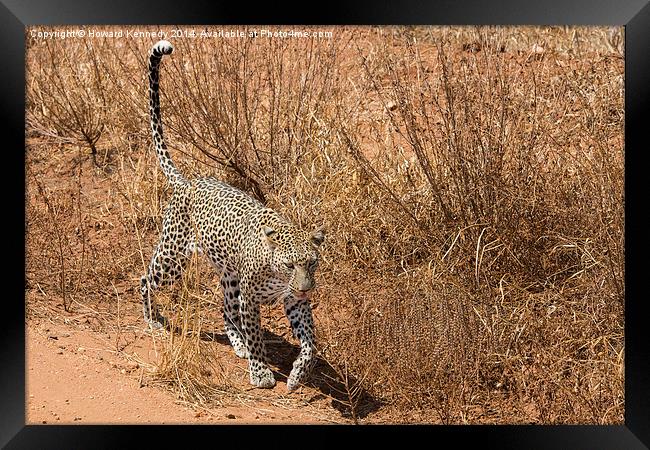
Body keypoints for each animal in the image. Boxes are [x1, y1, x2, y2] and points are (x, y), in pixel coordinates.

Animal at [140, 40, 324, 392]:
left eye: (311, 263)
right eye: (289, 264)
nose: (306, 288)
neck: (275, 272)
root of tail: (188, 181)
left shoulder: (295, 303)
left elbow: (310, 342)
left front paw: (298, 374)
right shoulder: (251, 299)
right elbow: (256, 336)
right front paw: (262, 372)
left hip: (229, 275)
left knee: (225, 307)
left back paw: (236, 343)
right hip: (174, 258)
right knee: (146, 280)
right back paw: (152, 320)